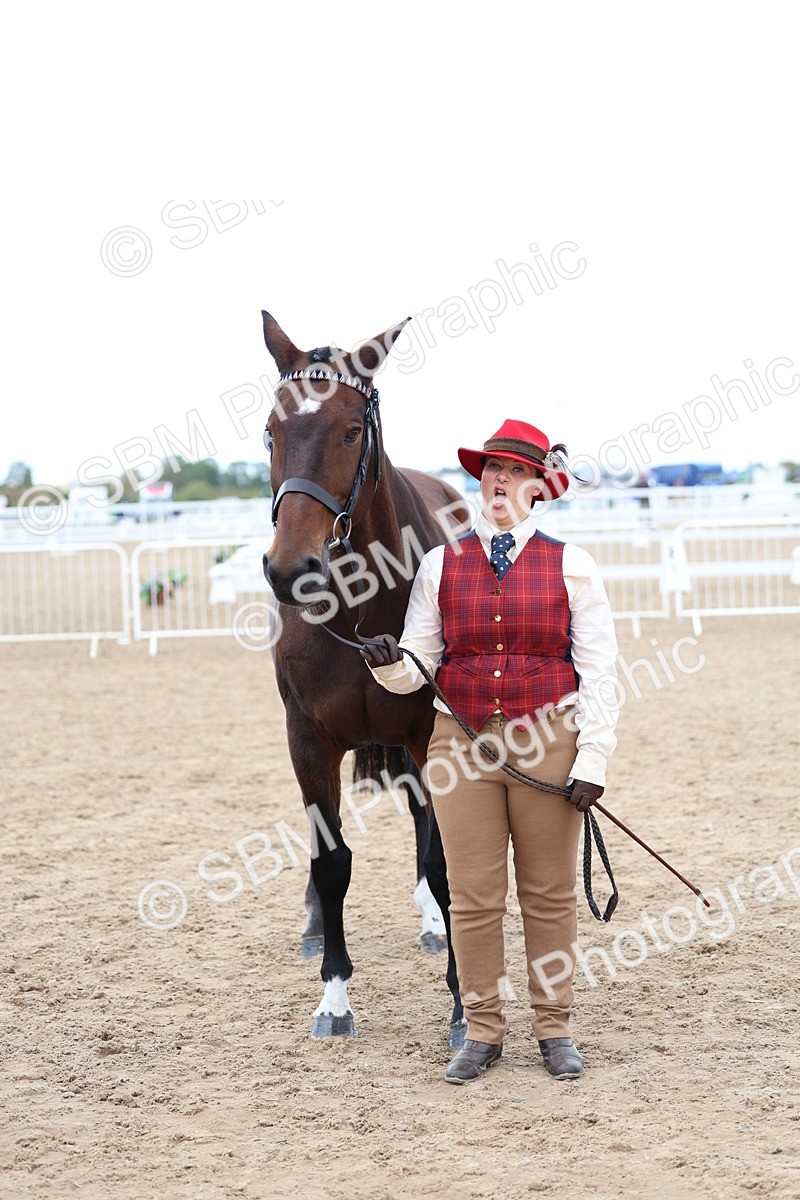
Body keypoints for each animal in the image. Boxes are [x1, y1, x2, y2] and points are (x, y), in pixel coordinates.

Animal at [260, 310, 471, 1047]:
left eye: (351, 430)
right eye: (271, 430)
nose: (290, 569)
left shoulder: (428, 733)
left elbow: (442, 862)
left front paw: (462, 1005)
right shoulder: (305, 738)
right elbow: (330, 864)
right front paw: (334, 997)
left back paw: (436, 925)